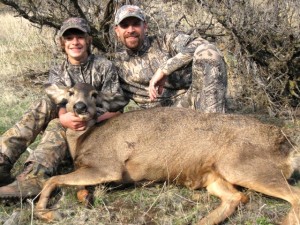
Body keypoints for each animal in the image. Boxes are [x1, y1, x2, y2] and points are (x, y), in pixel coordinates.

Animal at [35, 83, 300, 225]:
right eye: (70, 93)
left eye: (94, 95)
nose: (80, 107)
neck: (83, 141)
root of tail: (287, 146)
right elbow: (76, 187)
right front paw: (81, 200)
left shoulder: (107, 166)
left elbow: (53, 179)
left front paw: (49, 211)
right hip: (214, 177)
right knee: (237, 197)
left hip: (242, 166)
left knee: (294, 195)